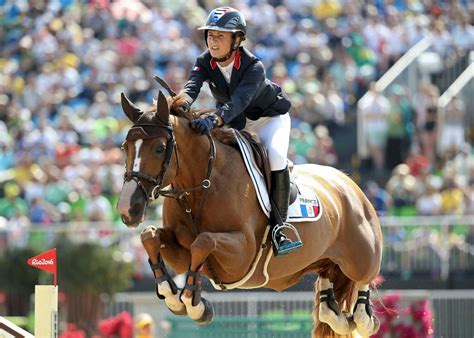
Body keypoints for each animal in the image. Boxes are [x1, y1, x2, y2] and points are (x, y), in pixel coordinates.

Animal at [116, 88, 384, 336]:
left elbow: (203, 241)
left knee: (364, 284)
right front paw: (171, 295)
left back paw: (364, 319)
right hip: (325, 260)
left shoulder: (243, 254)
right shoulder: (181, 252)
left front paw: (195, 304)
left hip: (360, 258)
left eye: (160, 148)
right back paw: (339, 316)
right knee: (329, 301)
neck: (202, 186)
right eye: (124, 146)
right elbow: (150, 236)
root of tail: (349, 183)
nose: (127, 209)